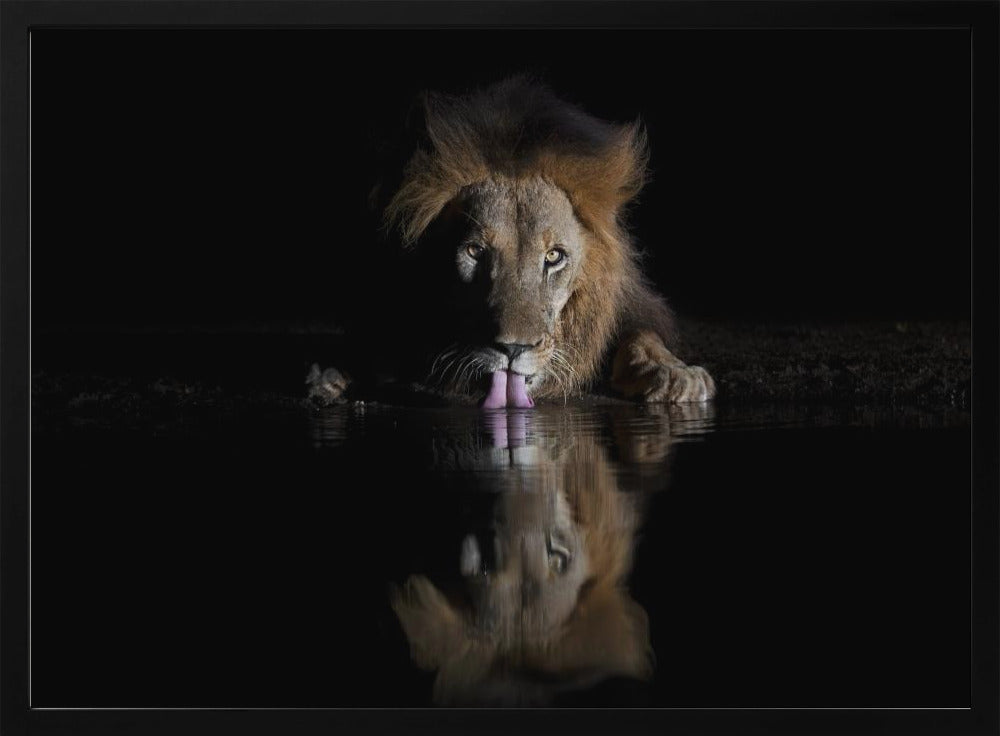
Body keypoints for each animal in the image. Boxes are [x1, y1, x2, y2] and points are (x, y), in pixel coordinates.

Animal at [308, 77, 715, 408]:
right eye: (475, 252)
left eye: (554, 256)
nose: (513, 349)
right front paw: (330, 372)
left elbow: (642, 335)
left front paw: (674, 374)